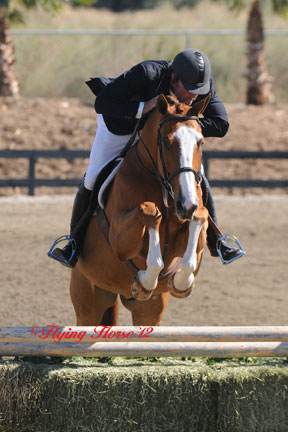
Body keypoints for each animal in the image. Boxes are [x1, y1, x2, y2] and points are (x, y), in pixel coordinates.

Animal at [70, 93, 209, 326]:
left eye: (200, 142)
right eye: (167, 142)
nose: (186, 204)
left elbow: (199, 221)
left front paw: (179, 284)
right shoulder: (119, 239)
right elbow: (150, 212)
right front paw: (144, 280)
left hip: (148, 311)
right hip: (88, 303)